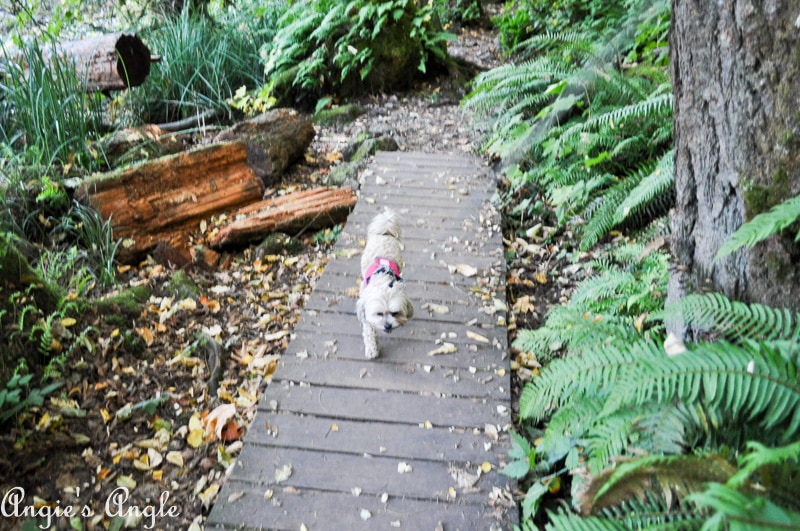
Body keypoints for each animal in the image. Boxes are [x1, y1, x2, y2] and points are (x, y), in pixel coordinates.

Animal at [360, 210, 416, 360]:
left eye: (395, 313)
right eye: (379, 313)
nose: (387, 326)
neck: (382, 278)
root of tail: (385, 232)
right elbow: (369, 330)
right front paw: (372, 349)